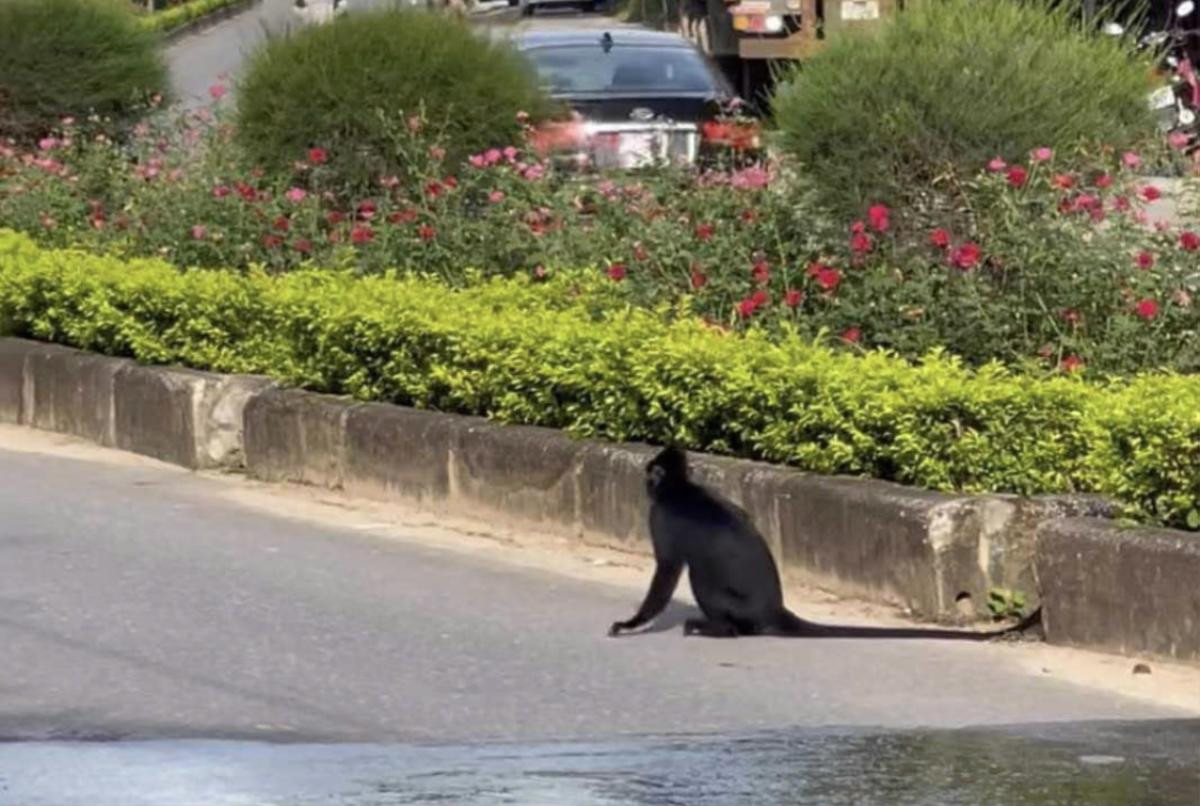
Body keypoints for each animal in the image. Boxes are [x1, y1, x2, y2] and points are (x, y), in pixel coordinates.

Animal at [609, 443, 1041, 638]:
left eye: (651, 473)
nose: (645, 480)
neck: (681, 488)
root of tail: (774, 610)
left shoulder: (661, 516)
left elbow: (667, 570)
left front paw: (630, 623)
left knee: (702, 576)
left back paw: (719, 628)